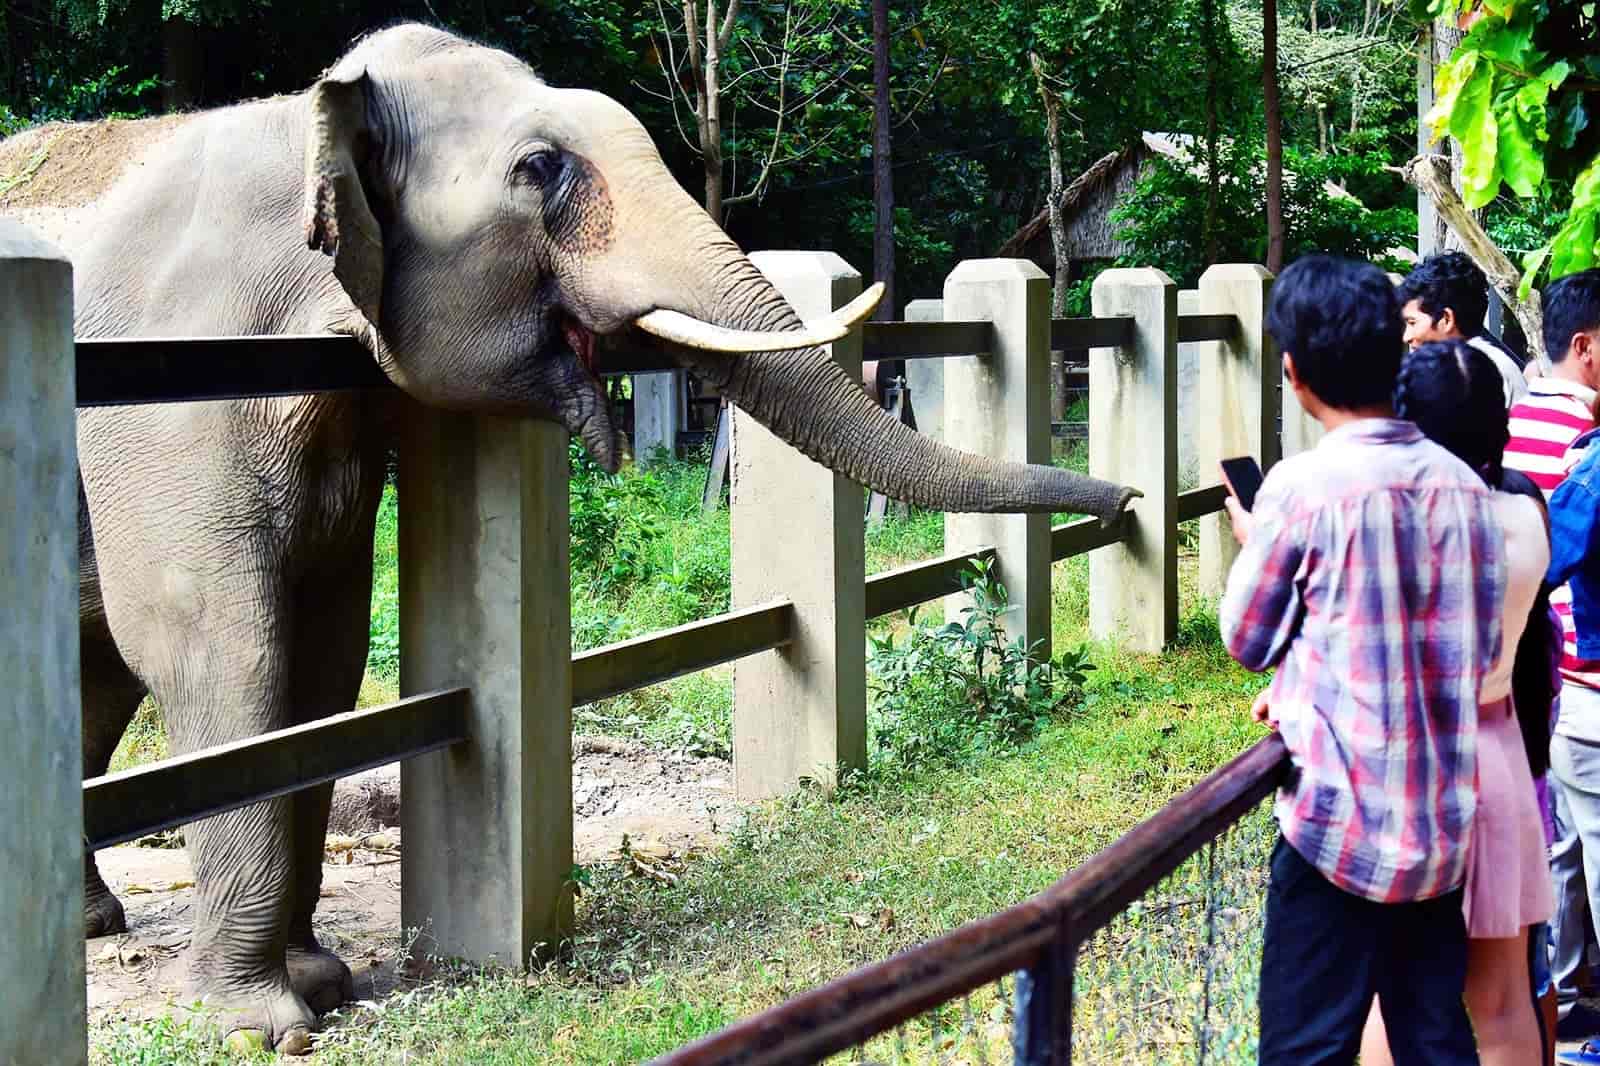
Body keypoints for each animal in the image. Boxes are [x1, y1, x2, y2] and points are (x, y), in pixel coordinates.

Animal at [0, 20, 1139, 1049]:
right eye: (542, 169)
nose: (1127, 500)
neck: (308, 117)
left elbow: (325, 656)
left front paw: (319, 981)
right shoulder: (172, 394)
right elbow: (219, 648)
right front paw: (266, 1024)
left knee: (95, 673)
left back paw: (97, 920)